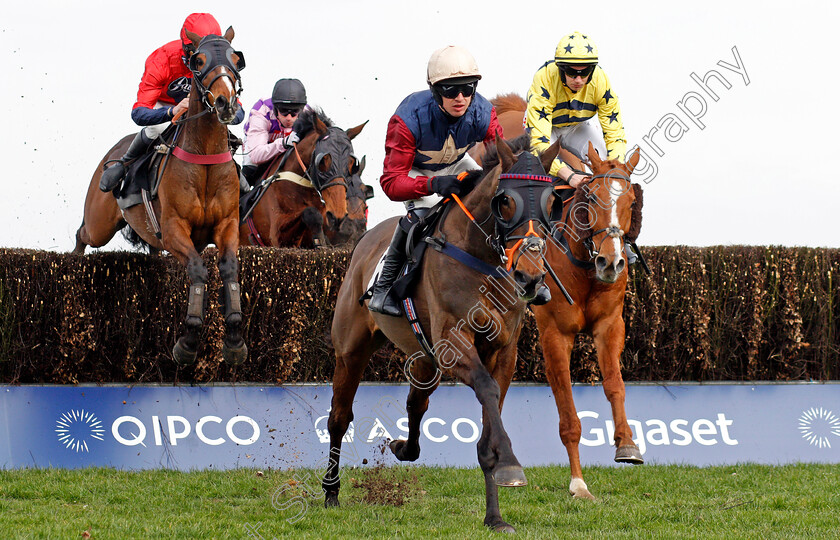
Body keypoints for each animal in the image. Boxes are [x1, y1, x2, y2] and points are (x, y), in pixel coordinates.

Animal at [74, 28, 249, 368]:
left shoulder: (227, 224)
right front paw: (188, 341)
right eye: (199, 61)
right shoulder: (173, 229)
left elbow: (229, 268)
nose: (226, 103)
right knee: (82, 234)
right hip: (100, 225)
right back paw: (73, 261)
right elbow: (197, 269)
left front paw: (235, 338)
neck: (204, 157)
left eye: (236, 59)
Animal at [236, 109, 368, 249]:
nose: (337, 216)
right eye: (322, 161)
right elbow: (311, 213)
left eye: (352, 164)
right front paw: (320, 241)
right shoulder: (277, 235)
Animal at [324, 134, 560, 532]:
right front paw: (511, 465)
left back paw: (403, 447)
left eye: (551, 202)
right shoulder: (454, 342)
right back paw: (330, 493)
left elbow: (490, 414)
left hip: (425, 357)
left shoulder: (504, 351)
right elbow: (485, 389)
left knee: (416, 403)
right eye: (505, 202)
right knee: (339, 418)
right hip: (351, 350)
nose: (529, 278)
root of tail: (365, 239)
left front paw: (495, 516)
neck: (482, 260)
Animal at [536, 141, 648, 500]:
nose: (611, 262)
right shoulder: (554, 334)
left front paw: (627, 444)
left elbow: (615, 384)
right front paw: (578, 483)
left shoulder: (609, 325)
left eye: (631, 202)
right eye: (593, 198)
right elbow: (568, 413)